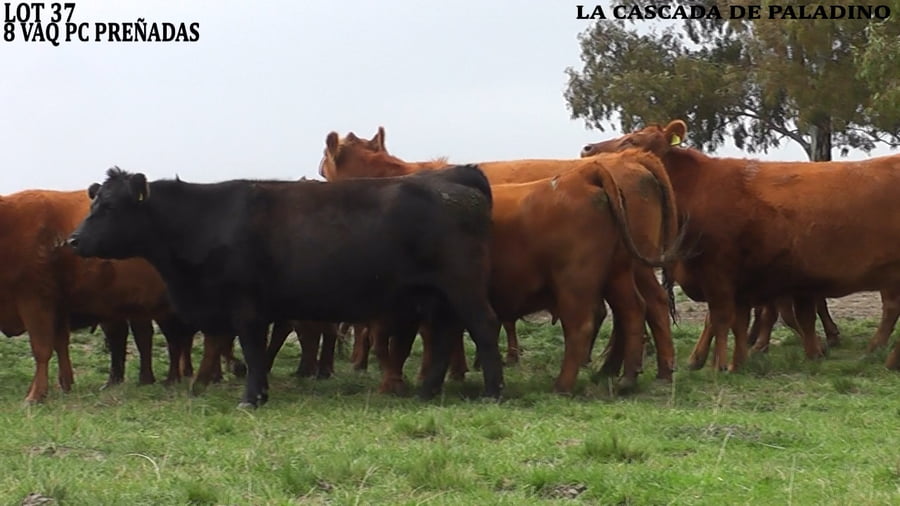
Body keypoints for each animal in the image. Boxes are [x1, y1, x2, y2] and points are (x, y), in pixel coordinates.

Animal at [68, 166, 504, 407]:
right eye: (94, 203)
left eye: (110, 207)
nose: (73, 240)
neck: (205, 220)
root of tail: (455, 177)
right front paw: (257, 393)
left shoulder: (245, 307)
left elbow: (253, 349)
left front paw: (250, 398)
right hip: (441, 296)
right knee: (447, 335)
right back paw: (427, 391)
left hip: (462, 286)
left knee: (483, 326)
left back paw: (493, 391)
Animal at [319, 128, 678, 381]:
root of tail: (632, 159)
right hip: (624, 268)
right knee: (635, 309)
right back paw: (626, 371)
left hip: (626, 267)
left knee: (646, 307)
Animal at [580, 120, 900, 371]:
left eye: (631, 140)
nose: (587, 149)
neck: (698, 189)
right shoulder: (737, 279)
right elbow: (733, 320)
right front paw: (731, 361)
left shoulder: (718, 270)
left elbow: (722, 317)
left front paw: (719, 365)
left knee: (890, 309)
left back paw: (878, 353)